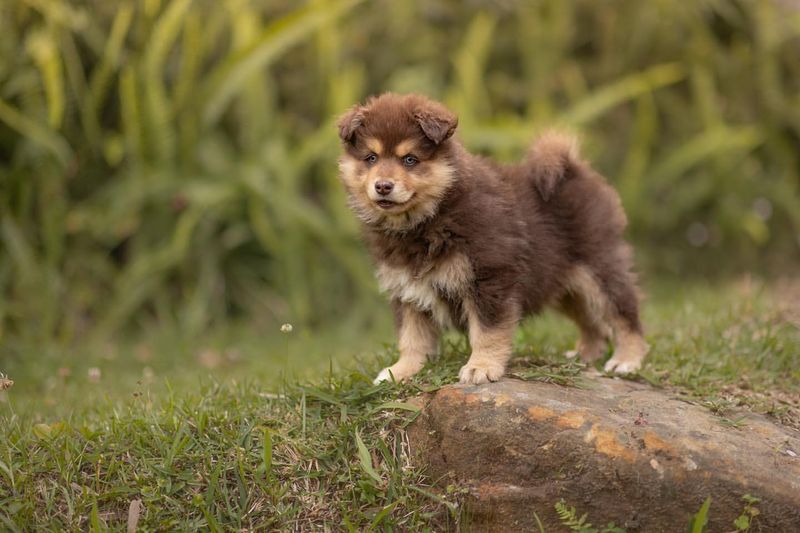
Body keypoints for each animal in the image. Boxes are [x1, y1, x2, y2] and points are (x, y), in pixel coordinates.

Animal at [334, 91, 648, 382]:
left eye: (410, 159)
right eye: (371, 158)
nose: (383, 186)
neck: (429, 218)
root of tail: (574, 168)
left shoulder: (489, 278)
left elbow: (487, 331)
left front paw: (481, 368)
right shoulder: (408, 289)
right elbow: (412, 338)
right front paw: (401, 371)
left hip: (599, 266)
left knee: (624, 313)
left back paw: (626, 361)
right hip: (563, 283)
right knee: (591, 320)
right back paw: (586, 353)